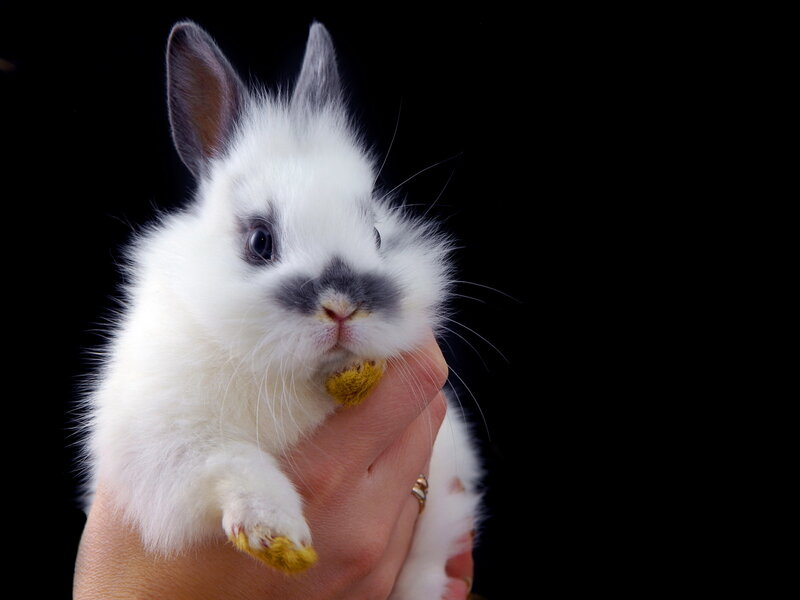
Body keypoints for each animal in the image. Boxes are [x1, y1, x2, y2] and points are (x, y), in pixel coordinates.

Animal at [82, 20, 482, 599]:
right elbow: (232, 461)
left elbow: (423, 572)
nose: (342, 307)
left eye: (377, 233)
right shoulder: (160, 443)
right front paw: (278, 539)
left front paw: (356, 376)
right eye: (259, 242)